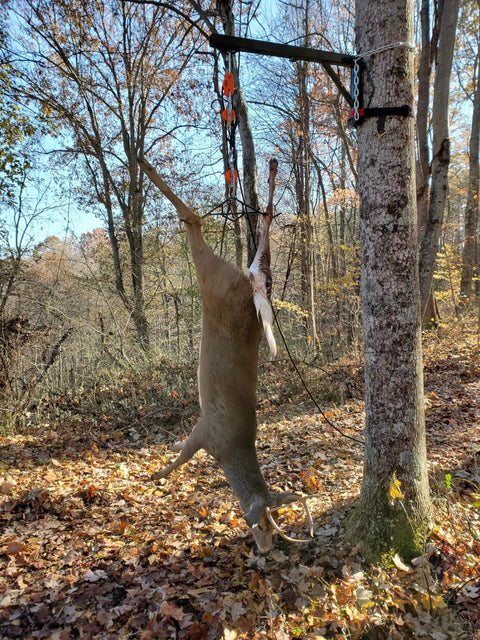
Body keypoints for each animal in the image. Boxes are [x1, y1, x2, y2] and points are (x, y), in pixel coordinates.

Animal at [138, 156, 313, 553]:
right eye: (263, 523)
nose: (265, 551)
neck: (230, 452)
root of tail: (252, 289)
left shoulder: (203, 431)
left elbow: (181, 450)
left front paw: (158, 462)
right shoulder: (207, 432)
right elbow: (180, 458)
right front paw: (155, 474)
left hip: (221, 280)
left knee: (241, 233)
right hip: (216, 278)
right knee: (202, 224)